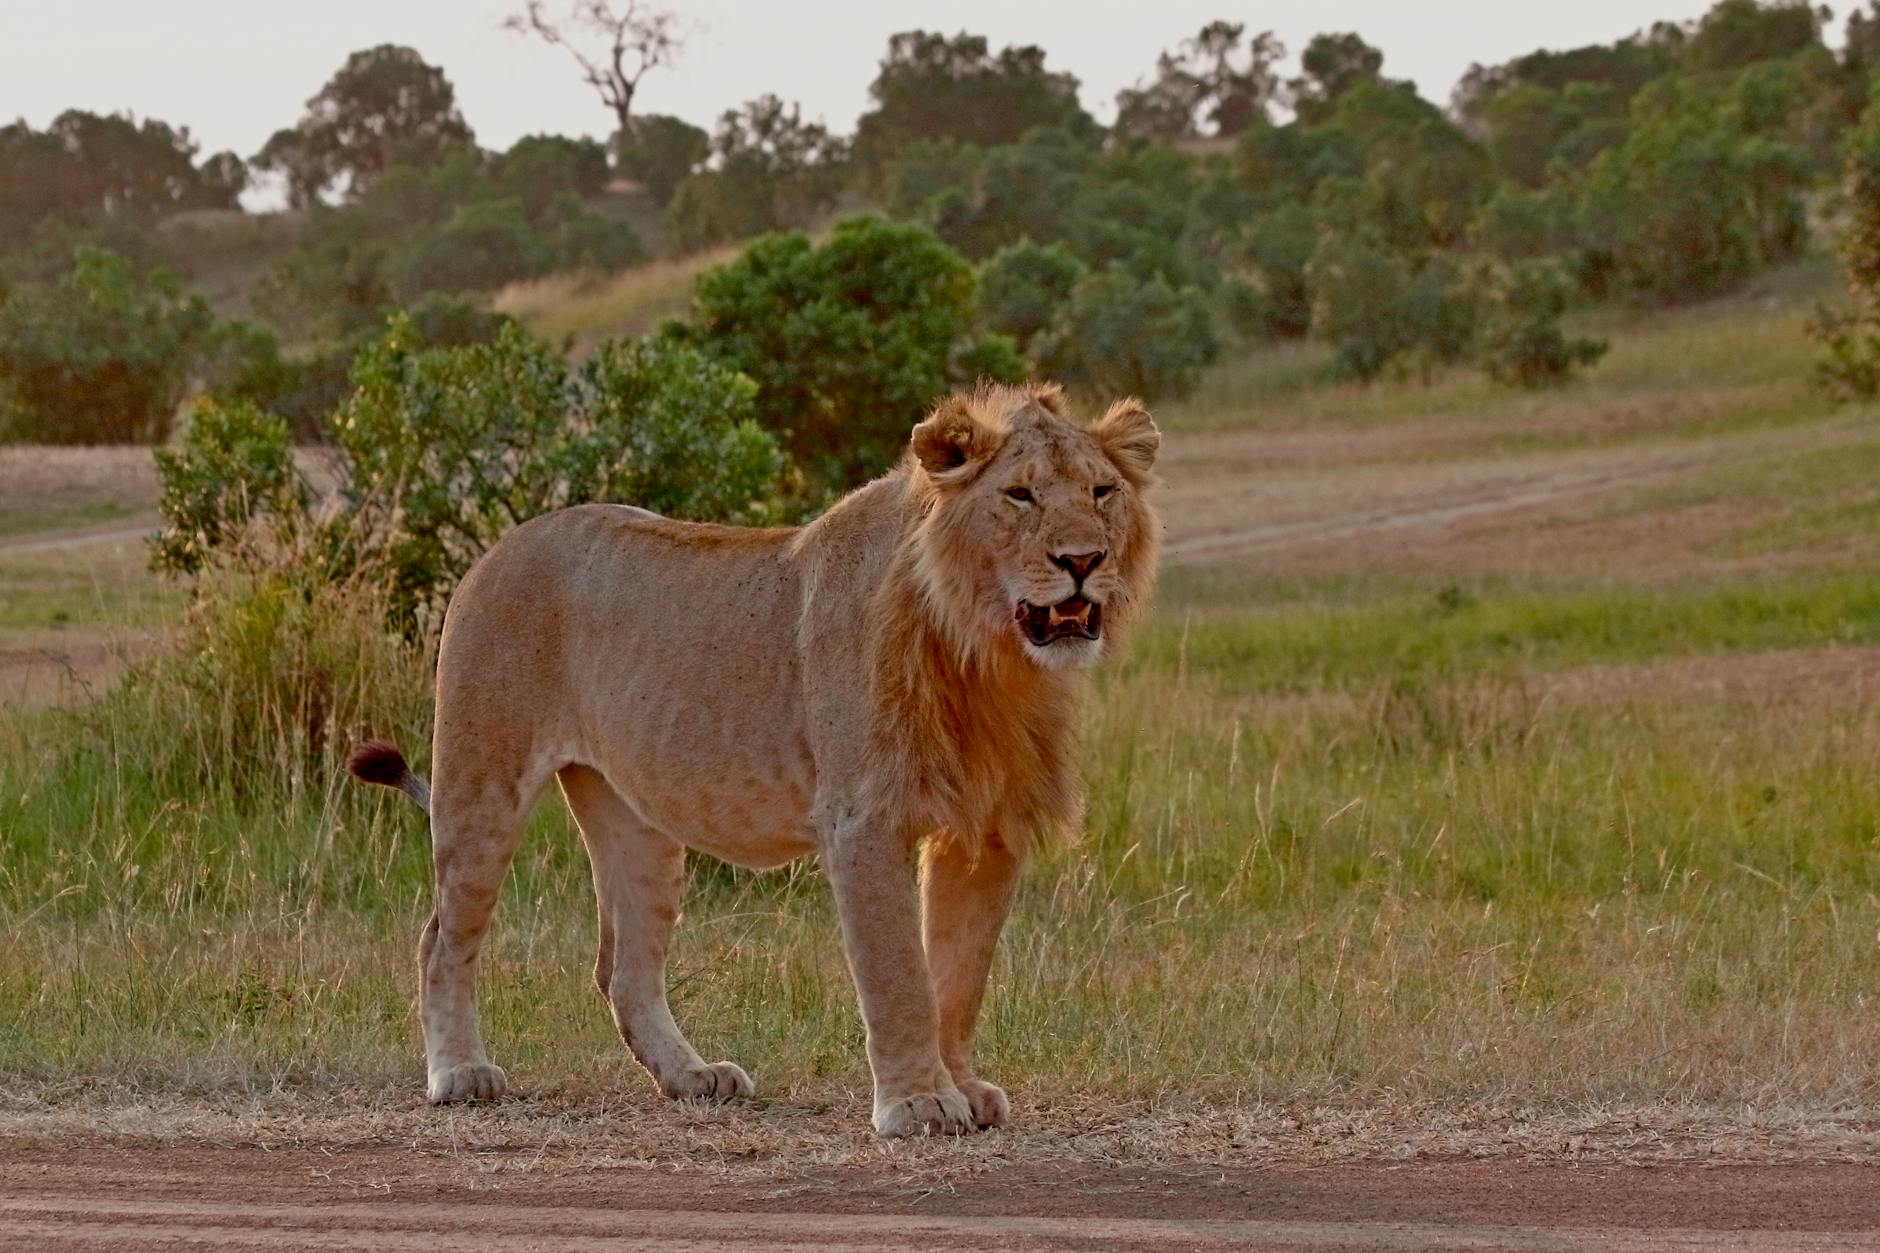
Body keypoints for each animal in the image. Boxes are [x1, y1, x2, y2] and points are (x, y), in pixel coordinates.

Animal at [348, 382, 1160, 1136]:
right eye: (1020, 494)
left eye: (1102, 492)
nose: (1083, 560)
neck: (985, 652)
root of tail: (499, 546)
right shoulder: (862, 817)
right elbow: (900, 973)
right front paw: (920, 1103)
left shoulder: (984, 829)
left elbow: (958, 978)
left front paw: (962, 1087)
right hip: (482, 778)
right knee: (441, 939)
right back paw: (460, 1073)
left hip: (633, 814)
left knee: (623, 968)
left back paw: (692, 1076)